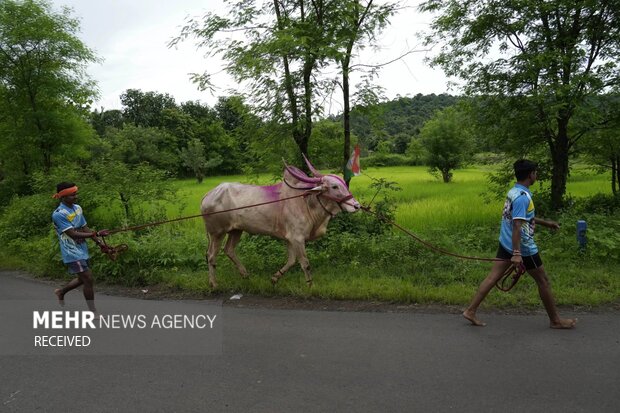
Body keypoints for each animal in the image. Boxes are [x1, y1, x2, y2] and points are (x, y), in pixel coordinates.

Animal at [201, 156, 360, 288]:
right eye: (334, 186)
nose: (356, 205)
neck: (306, 202)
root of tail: (207, 195)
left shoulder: (289, 239)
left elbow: (291, 261)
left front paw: (274, 278)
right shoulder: (297, 238)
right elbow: (305, 263)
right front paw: (311, 286)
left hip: (236, 230)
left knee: (228, 250)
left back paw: (245, 275)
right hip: (217, 233)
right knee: (211, 255)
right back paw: (213, 284)